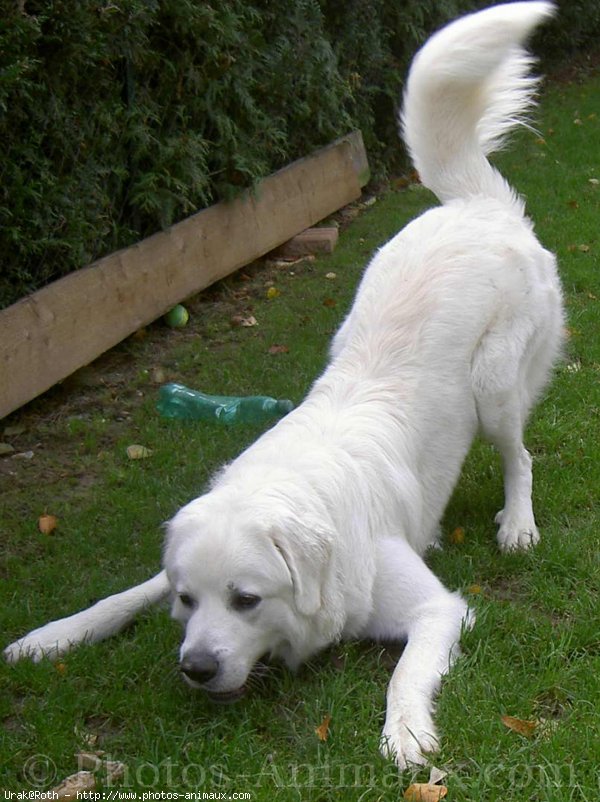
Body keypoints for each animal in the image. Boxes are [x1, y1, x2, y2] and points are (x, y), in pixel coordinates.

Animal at [3, 1, 564, 768]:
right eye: (188, 601)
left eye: (247, 599)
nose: (195, 668)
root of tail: (476, 206)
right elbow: (120, 596)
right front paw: (49, 637)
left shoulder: (436, 609)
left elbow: (406, 670)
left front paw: (406, 734)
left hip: (495, 386)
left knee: (520, 455)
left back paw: (518, 524)